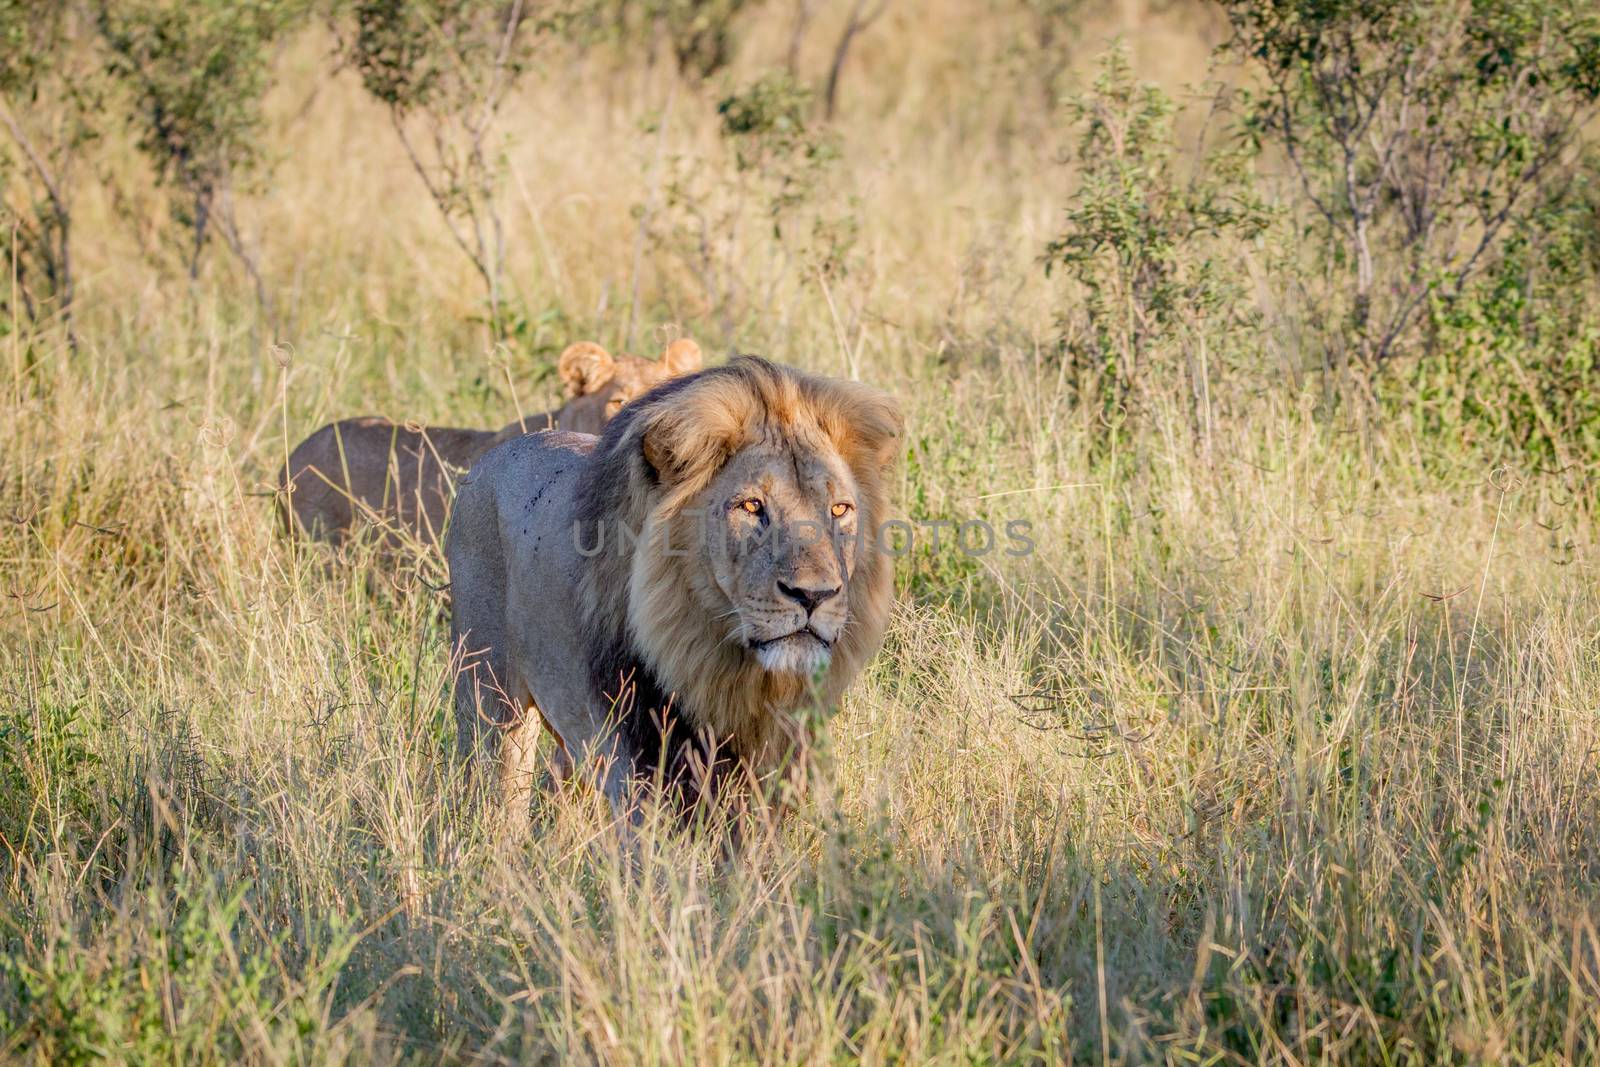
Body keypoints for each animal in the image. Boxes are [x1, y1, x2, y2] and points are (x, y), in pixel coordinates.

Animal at [448, 356, 902, 819]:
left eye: (839, 510)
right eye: (751, 506)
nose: (814, 595)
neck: (728, 674)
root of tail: (491, 457)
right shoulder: (639, 761)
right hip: (490, 699)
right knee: (497, 792)